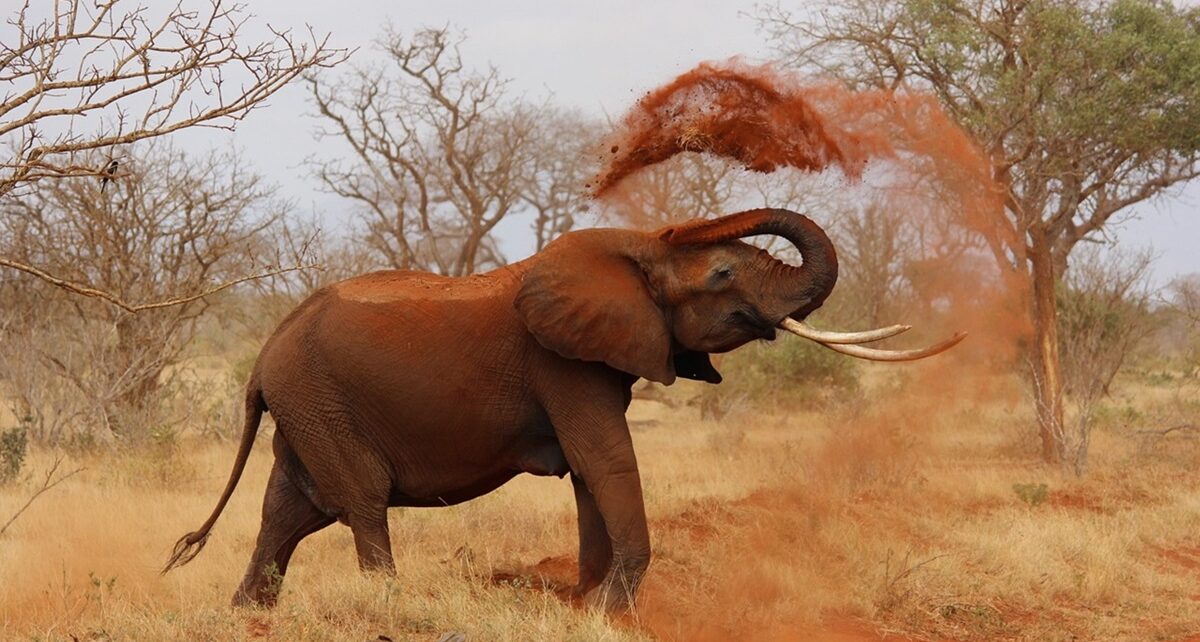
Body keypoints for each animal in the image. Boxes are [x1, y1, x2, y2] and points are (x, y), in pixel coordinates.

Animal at [163, 208, 960, 610]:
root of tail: (264, 355)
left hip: (307, 406)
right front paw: (611, 611)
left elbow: (589, 472)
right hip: (320, 401)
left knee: (289, 509)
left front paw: (585, 603)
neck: (630, 252)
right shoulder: (562, 363)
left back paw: (249, 615)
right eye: (724, 273)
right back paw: (387, 606)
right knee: (358, 502)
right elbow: (605, 460)